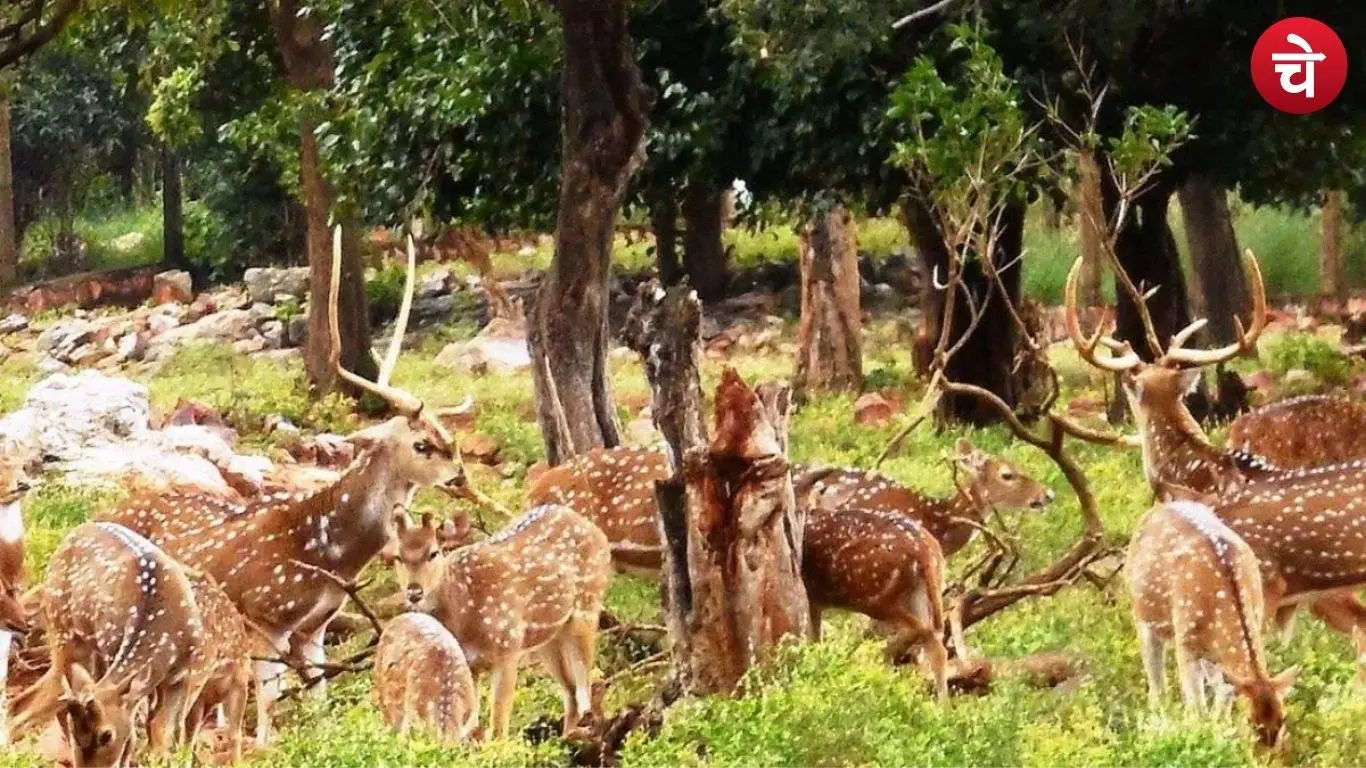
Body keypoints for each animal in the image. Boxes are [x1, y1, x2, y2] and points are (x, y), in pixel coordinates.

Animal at [10, 522, 207, 765]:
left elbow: (162, 732)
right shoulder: (111, 650)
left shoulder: (183, 675)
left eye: (106, 735)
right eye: (76, 734)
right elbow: (142, 732)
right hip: (65, 633)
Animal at [409, 503, 611, 739]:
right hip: (547, 637)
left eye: (433, 553)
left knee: (585, 685)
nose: (414, 593)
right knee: (571, 689)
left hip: (587, 607)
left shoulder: (509, 649)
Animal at [803, 508, 949, 700]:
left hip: (870, 594)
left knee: (921, 629)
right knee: (935, 643)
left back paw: (874, 659)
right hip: (918, 593)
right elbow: (815, 638)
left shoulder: (812, 597)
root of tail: (924, 550)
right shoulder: (816, 602)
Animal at [1127, 500, 1297, 747]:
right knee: (1156, 683)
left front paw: (1221, 735)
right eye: (1250, 720)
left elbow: (1223, 697)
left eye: (1283, 718)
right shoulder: (1185, 642)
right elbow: (1197, 708)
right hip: (1142, 616)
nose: (1267, 751)